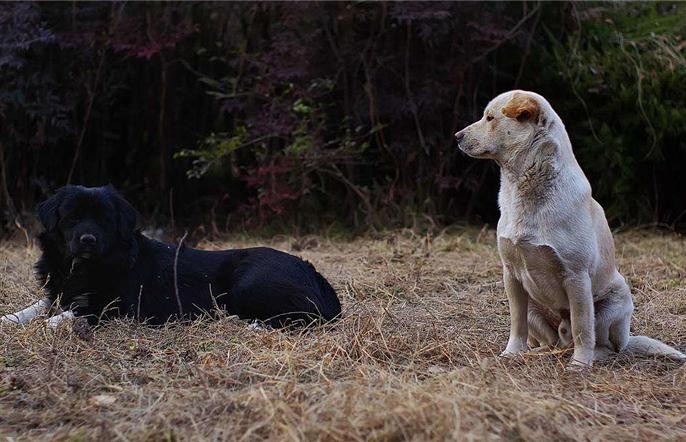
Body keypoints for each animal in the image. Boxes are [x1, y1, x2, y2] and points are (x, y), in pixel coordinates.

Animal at [33, 184, 344, 328]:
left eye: (105, 220)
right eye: (72, 218)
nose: (88, 240)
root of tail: (316, 276)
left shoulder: (118, 306)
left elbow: (75, 312)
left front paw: (51, 323)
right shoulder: (56, 293)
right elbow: (37, 306)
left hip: (249, 285)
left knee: (303, 316)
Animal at [456, 89, 686, 366]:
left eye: (490, 118)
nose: (456, 136)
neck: (524, 188)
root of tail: (628, 340)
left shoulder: (576, 277)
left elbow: (581, 326)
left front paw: (579, 364)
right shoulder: (510, 275)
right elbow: (517, 324)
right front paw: (511, 353)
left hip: (618, 298)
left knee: (603, 344)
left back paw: (591, 356)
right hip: (533, 305)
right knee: (551, 341)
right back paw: (537, 353)